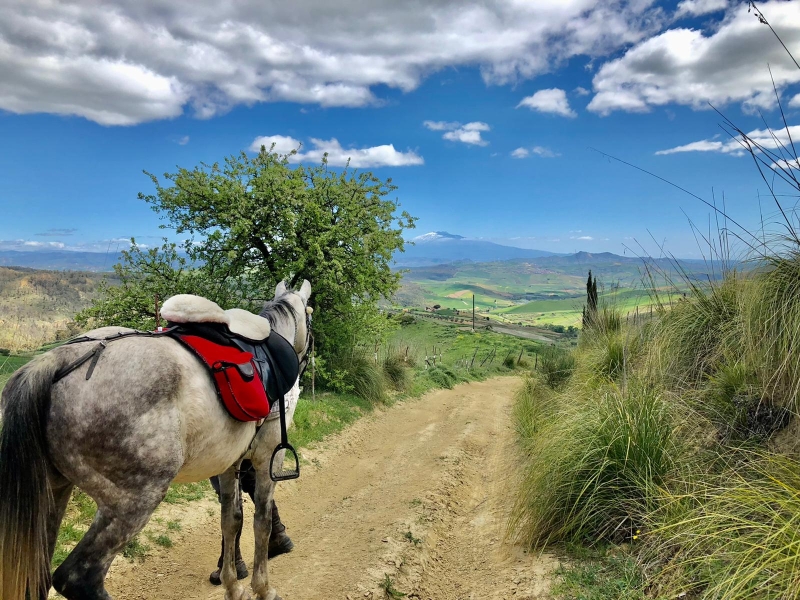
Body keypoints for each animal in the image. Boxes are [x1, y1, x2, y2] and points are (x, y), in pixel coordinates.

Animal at [0, 282, 312, 600]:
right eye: (310, 317)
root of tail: (57, 360)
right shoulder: (268, 456)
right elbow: (261, 520)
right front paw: (263, 587)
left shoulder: (228, 463)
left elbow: (231, 520)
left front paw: (233, 586)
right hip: (134, 500)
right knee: (77, 577)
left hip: (54, 493)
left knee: (37, 577)